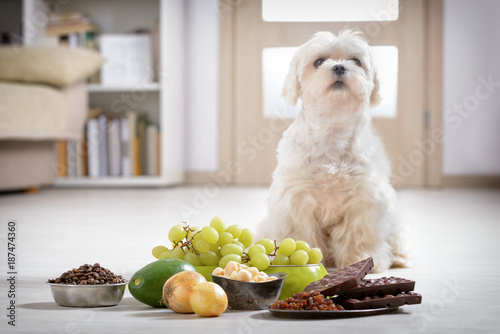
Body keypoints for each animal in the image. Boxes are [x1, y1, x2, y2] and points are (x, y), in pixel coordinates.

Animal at [260, 30, 408, 272]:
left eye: (356, 61)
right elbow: (301, 233)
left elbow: (358, 235)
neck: (332, 129)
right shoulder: (297, 198)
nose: (339, 67)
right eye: (319, 61)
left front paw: (362, 259)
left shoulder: (364, 198)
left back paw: (400, 257)